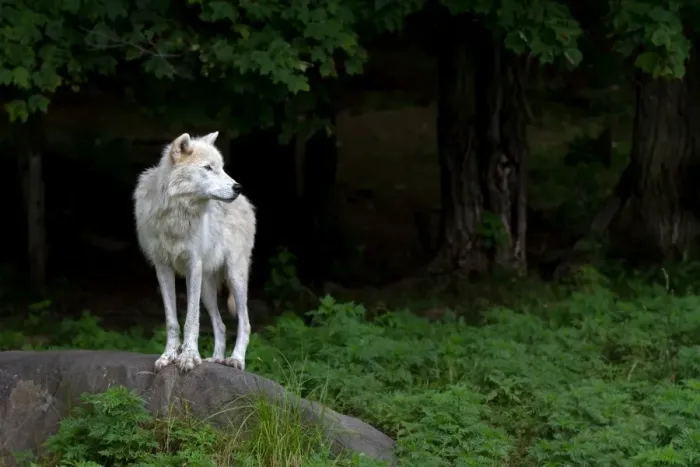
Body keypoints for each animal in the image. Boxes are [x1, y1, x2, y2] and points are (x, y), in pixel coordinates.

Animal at [133, 131, 256, 373]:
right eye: (208, 168)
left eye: (222, 167)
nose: (238, 187)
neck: (177, 215)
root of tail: (246, 203)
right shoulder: (162, 268)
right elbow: (172, 320)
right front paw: (168, 356)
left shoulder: (193, 265)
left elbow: (191, 319)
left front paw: (188, 357)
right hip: (207, 290)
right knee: (221, 325)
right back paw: (216, 359)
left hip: (234, 277)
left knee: (245, 323)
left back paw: (236, 360)